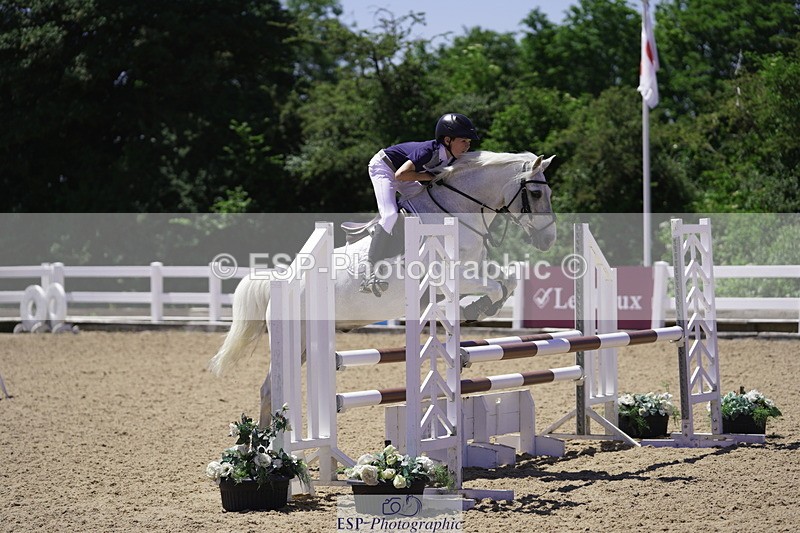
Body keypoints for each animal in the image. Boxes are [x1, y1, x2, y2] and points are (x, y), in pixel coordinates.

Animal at [209, 151, 557, 422]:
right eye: (538, 195)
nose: (548, 240)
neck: (456, 213)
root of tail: (282, 280)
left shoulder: (473, 269)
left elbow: (507, 279)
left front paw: (479, 309)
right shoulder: (449, 275)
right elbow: (493, 287)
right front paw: (475, 309)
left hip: (307, 344)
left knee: (269, 388)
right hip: (298, 338)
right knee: (272, 387)